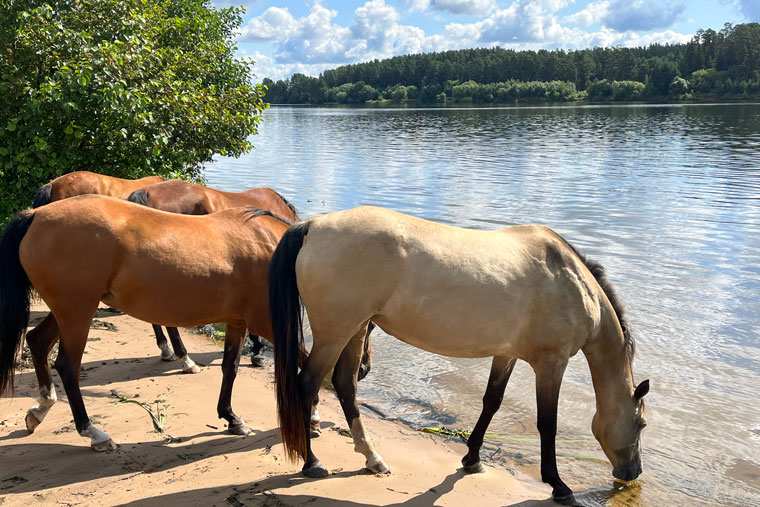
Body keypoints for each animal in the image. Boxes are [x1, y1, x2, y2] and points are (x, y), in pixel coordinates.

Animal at [0, 196, 296, 450]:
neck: (268, 243)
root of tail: (35, 215)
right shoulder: (266, 321)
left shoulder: (237, 322)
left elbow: (230, 368)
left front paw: (231, 418)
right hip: (77, 314)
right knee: (67, 366)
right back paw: (93, 433)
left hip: (69, 311)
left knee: (37, 341)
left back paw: (39, 410)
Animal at [268, 205, 648, 504]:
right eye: (642, 423)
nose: (633, 472)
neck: (574, 285)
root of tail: (314, 225)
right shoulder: (551, 364)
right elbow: (547, 424)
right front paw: (558, 485)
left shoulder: (506, 355)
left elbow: (491, 402)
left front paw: (473, 459)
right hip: (335, 333)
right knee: (307, 384)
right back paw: (313, 463)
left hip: (357, 328)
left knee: (345, 385)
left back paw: (373, 459)